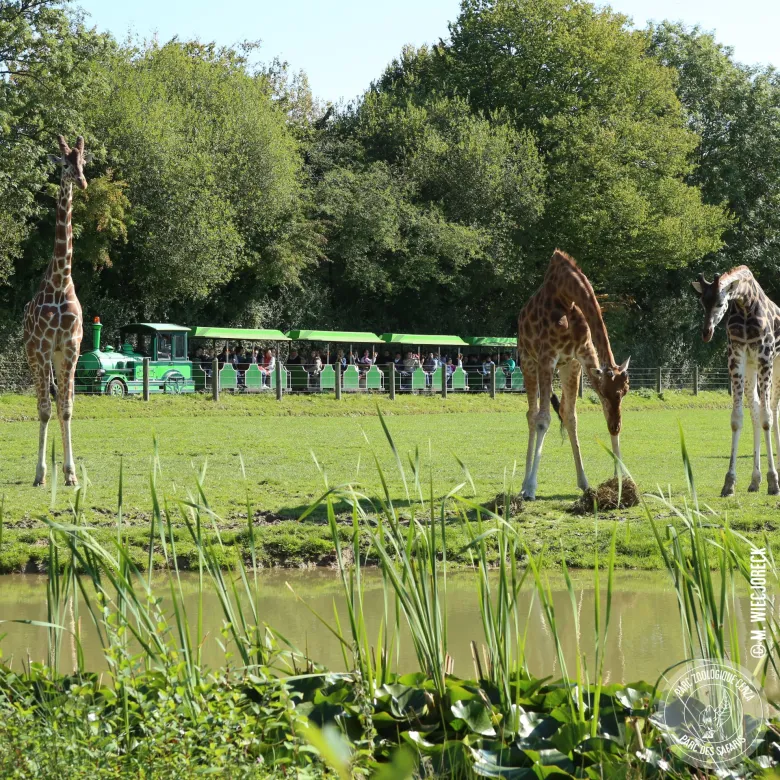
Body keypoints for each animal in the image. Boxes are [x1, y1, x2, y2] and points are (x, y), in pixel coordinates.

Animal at [516, 250, 632, 500]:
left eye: (624, 393)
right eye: (604, 394)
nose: (615, 427)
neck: (565, 296)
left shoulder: (582, 355)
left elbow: (578, 416)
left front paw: (621, 480)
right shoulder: (547, 357)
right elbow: (543, 420)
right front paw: (531, 488)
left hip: (566, 367)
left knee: (567, 415)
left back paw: (583, 482)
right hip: (528, 361)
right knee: (532, 415)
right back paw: (523, 484)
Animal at [688, 266, 780, 496]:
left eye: (721, 303)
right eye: (702, 302)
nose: (706, 333)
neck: (745, 304)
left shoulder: (765, 356)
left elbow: (767, 418)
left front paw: (773, 481)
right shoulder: (737, 356)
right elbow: (738, 418)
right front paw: (729, 482)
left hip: (776, 363)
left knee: (774, 409)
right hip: (751, 367)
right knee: (756, 409)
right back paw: (755, 481)